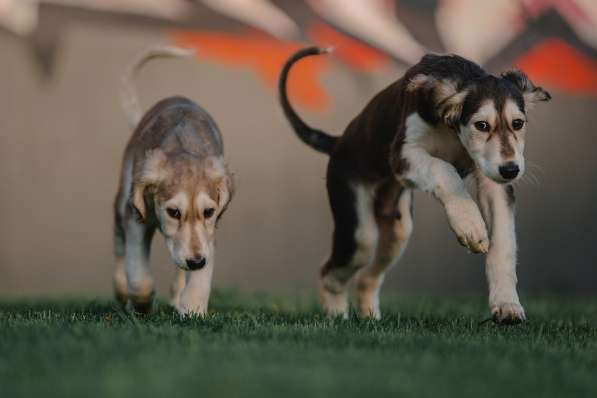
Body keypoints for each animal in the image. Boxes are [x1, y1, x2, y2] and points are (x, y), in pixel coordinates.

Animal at [113, 46, 234, 316]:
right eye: (173, 212)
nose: (196, 261)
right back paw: (122, 290)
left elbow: (200, 277)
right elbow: (139, 276)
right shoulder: (136, 220)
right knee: (119, 245)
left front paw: (192, 306)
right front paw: (142, 303)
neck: (182, 146)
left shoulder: (208, 234)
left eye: (209, 211)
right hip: (122, 201)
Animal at [280, 48, 548, 324]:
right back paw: (335, 314)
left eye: (518, 123)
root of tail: (337, 143)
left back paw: (370, 317)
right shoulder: (403, 154)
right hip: (358, 227)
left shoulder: (493, 181)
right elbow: (444, 169)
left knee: (366, 277)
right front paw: (470, 226)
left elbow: (503, 244)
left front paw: (507, 305)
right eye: (481, 125)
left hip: (399, 229)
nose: (511, 170)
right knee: (331, 270)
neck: (452, 130)